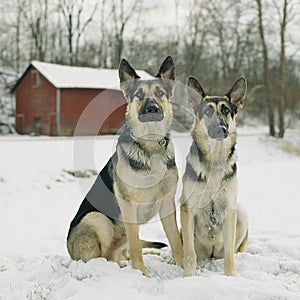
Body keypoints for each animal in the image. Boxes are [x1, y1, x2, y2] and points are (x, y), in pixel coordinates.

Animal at [67, 56, 183, 276]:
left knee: (122, 253)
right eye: (139, 95)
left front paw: (186, 268)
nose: (152, 109)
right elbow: (136, 246)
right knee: (105, 256)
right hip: (98, 219)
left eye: (160, 93)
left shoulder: (167, 204)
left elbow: (177, 240)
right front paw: (142, 274)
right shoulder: (129, 206)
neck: (150, 145)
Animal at [180, 77, 248, 276]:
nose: (221, 129)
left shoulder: (229, 211)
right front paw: (189, 277)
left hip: (240, 213)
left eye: (226, 110)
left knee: (231, 251)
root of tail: (210, 255)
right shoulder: (187, 209)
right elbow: (189, 253)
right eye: (208, 111)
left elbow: (229, 256)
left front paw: (231, 276)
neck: (215, 161)